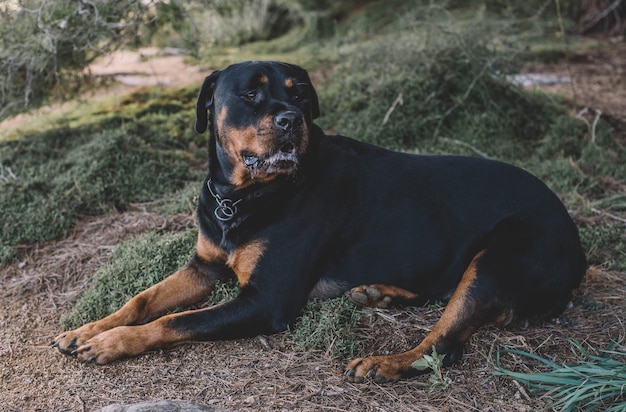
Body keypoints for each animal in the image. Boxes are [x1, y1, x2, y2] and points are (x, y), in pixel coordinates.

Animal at [52, 61, 584, 384]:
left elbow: (174, 320)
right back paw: (379, 293)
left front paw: (113, 342)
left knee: (444, 343)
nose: (291, 119)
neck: (243, 197)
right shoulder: (203, 266)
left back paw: (383, 362)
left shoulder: (265, 301)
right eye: (251, 95)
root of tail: (577, 246)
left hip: (498, 256)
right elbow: (143, 300)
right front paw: (89, 328)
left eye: (300, 96)